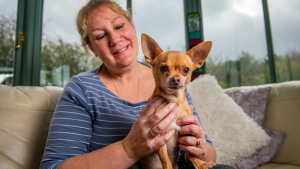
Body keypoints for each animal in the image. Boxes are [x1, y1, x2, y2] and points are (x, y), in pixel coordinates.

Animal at [139, 33, 216, 169]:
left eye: (186, 70)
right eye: (163, 68)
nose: (175, 79)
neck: (174, 101)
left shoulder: (187, 131)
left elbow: (191, 153)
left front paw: (200, 164)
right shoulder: (159, 138)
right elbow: (166, 160)